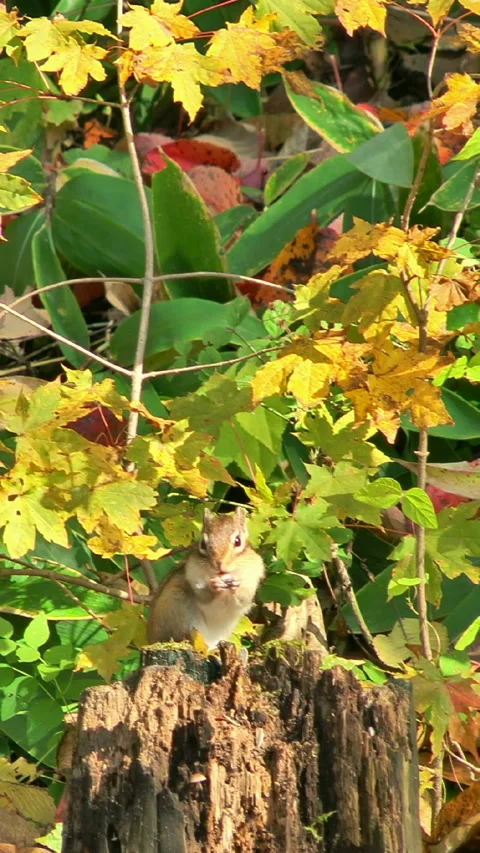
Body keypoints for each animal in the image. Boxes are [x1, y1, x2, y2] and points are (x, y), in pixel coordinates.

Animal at [147, 507, 264, 649]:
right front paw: (214, 586)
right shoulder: (193, 573)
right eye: (203, 544)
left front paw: (236, 586)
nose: (219, 564)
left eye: (238, 541)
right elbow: (204, 596)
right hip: (178, 606)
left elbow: (243, 598)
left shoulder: (251, 577)